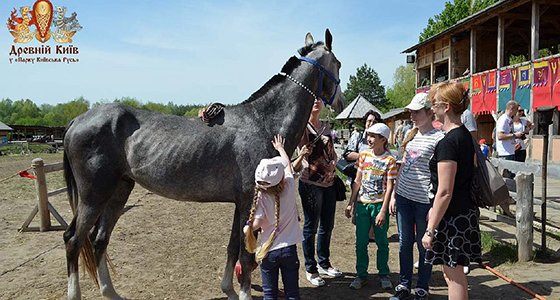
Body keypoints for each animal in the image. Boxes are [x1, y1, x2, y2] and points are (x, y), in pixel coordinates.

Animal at [61, 28, 342, 300]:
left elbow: (232, 248)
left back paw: (111, 293)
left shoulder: (240, 203)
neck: (262, 121)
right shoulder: (249, 199)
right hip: (94, 196)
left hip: (119, 191)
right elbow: (245, 255)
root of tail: (77, 121)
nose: (339, 103)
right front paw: (242, 293)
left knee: (99, 240)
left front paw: (228, 289)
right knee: (73, 240)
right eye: (338, 63)